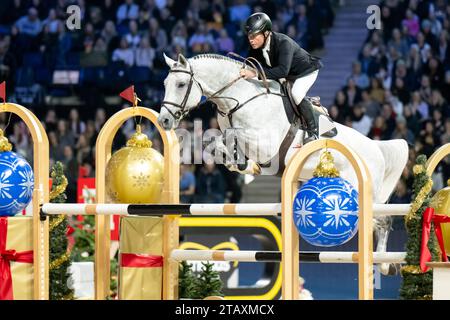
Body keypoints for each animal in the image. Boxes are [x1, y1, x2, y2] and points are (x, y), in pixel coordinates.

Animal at [158, 53, 408, 276]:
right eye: (165, 83)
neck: (239, 99)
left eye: (181, 84)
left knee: (384, 220)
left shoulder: (264, 143)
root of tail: (377, 149)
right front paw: (241, 164)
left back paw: (385, 265)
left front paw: (244, 165)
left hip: (365, 194)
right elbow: (217, 143)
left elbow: (228, 136)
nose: (164, 121)